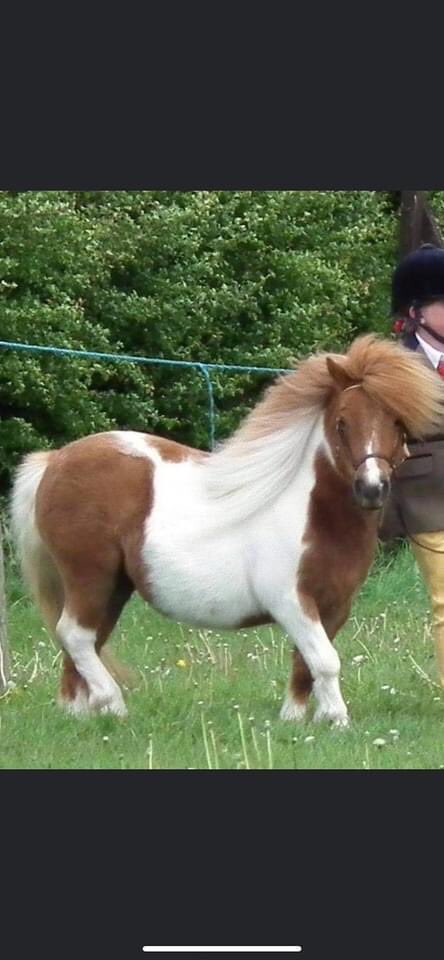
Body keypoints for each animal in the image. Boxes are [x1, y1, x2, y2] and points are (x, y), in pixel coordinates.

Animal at [10, 334, 444, 726]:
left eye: (398, 423)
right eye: (341, 423)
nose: (372, 489)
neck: (311, 511)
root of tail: (55, 461)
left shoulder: (334, 605)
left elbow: (304, 662)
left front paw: (295, 719)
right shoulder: (290, 600)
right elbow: (324, 660)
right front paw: (337, 719)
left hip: (113, 585)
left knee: (84, 642)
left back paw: (79, 715)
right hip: (90, 575)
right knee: (76, 635)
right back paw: (113, 705)